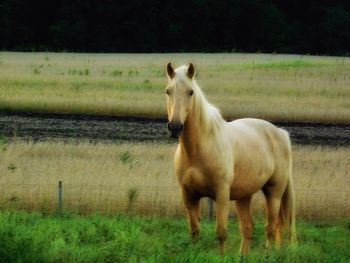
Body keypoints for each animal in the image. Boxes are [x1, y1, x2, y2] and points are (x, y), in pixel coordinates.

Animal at [165, 63, 296, 255]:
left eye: (190, 92)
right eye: (168, 91)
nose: (175, 127)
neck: (198, 150)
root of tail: (280, 133)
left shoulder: (221, 194)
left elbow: (221, 232)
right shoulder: (189, 195)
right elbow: (195, 232)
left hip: (274, 192)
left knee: (271, 228)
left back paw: (268, 255)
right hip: (244, 196)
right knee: (248, 228)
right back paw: (243, 256)